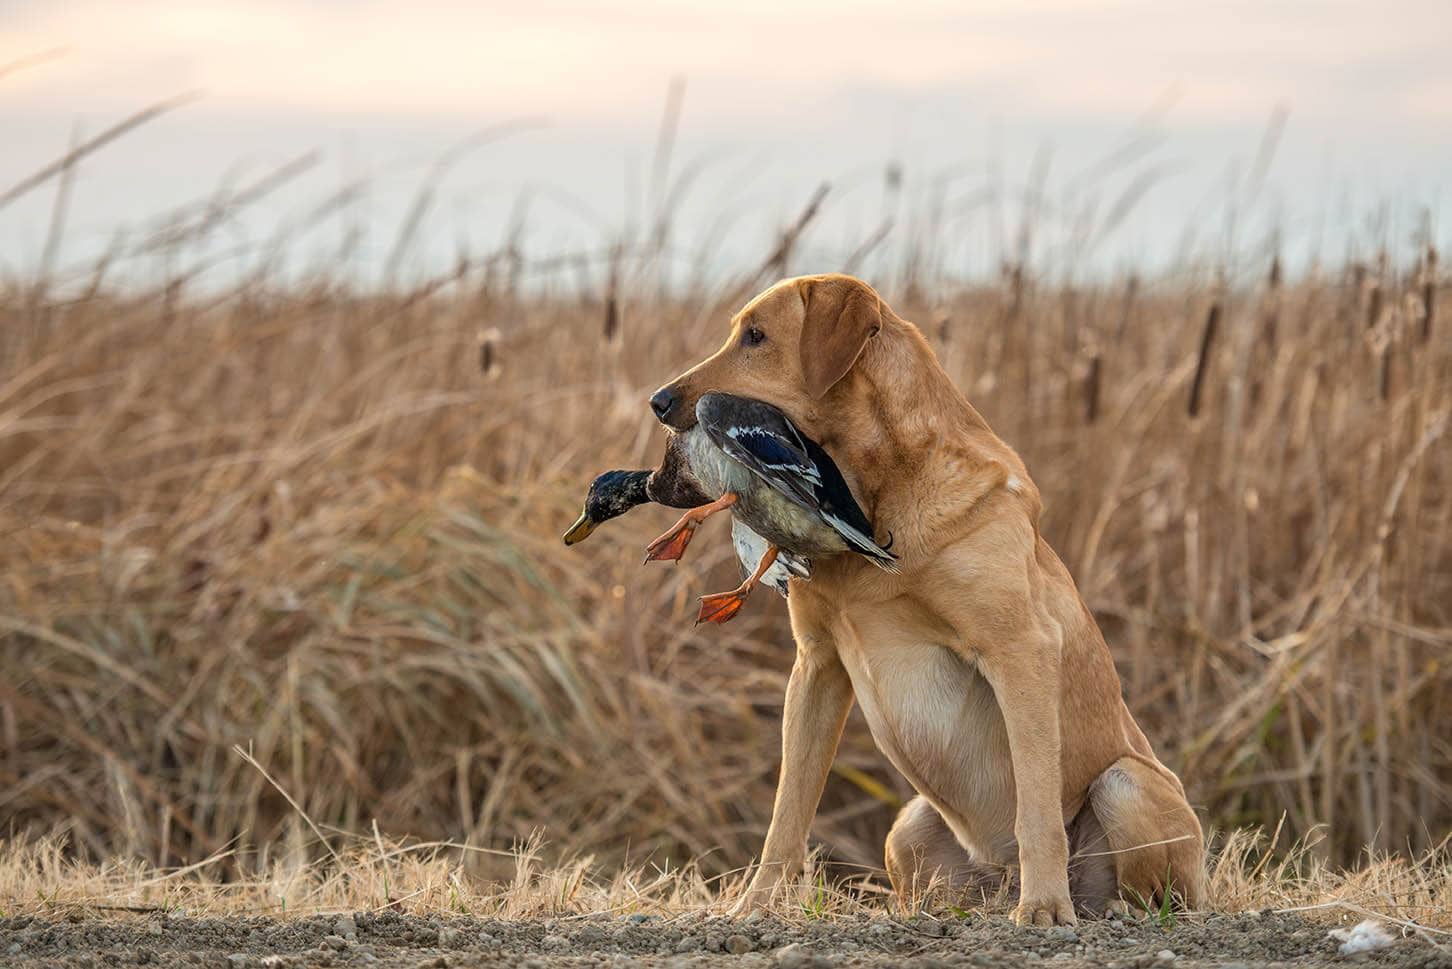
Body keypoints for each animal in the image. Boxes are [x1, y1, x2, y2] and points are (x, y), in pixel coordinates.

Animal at [653, 273, 1208, 923]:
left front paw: (1045, 908)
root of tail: (997, 875)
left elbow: (1038, 810)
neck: (878, 492)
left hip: (1126, 785)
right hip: (908, 831)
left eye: (757, 336)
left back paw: (1093, 905)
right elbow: (787, 815)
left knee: (1155, 892)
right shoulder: (817, 665)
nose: (658, 401)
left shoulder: (1021, 650)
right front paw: (754, 908)